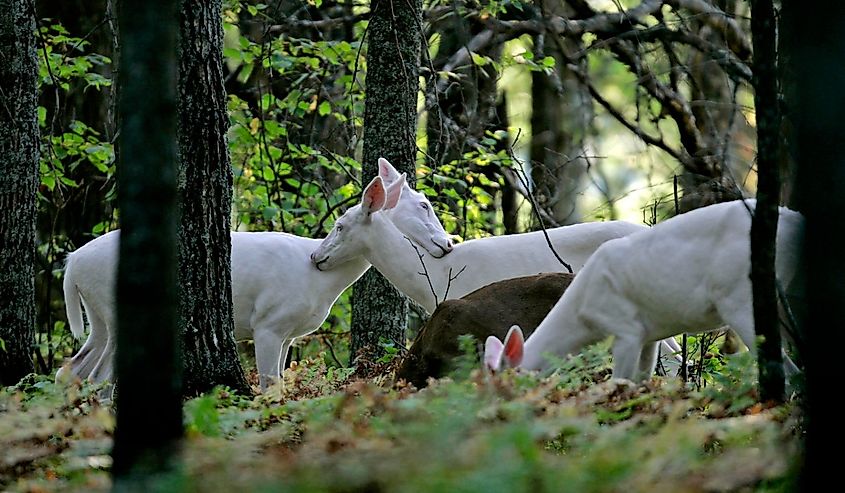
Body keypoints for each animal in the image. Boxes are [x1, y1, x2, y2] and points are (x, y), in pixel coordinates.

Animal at [56, 158, 452, 388]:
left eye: (339, 226)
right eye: (424, 205)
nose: (446, 243)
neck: (319, 284)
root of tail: (73, 264)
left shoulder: (289, 334)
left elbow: (278, 383)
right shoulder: (268, 323)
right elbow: (268, 384)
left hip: (99, 317)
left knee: (72, 370)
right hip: (115, 309)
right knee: (98, 378)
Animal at [484, 198, 800, 382]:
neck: (582, 314)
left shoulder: (626, 328)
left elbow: (620, 382)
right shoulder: (651, 335)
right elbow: (643, 381)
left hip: (740, 296)